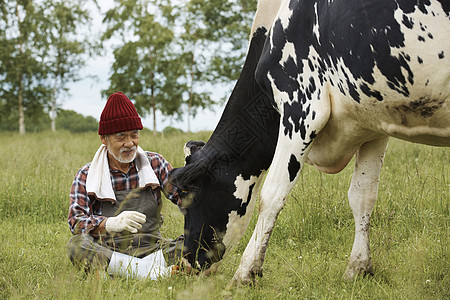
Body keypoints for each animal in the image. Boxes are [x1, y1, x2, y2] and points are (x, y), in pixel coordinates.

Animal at [170, 0, 450, 284]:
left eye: (183, 198)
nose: (186, 260)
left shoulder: (302, 106)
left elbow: (272, 194)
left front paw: (245, 272)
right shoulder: (373, 122)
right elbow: (363, 194)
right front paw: (358, 267)